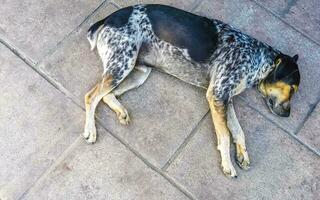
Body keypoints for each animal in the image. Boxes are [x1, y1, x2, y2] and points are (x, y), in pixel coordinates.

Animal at [84, 3, 302, 177]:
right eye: (292, 88)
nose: (288, 114)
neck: (258, 59)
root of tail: (107, 18)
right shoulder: (217, 95)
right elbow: (225, 136)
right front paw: (227, 164)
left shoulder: (226, 98)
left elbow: (238, 131)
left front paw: (242, 154)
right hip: (123, 63)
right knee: (91, 96)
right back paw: (90, 130)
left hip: (138, 71)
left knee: (108, 95)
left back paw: (121, 111)